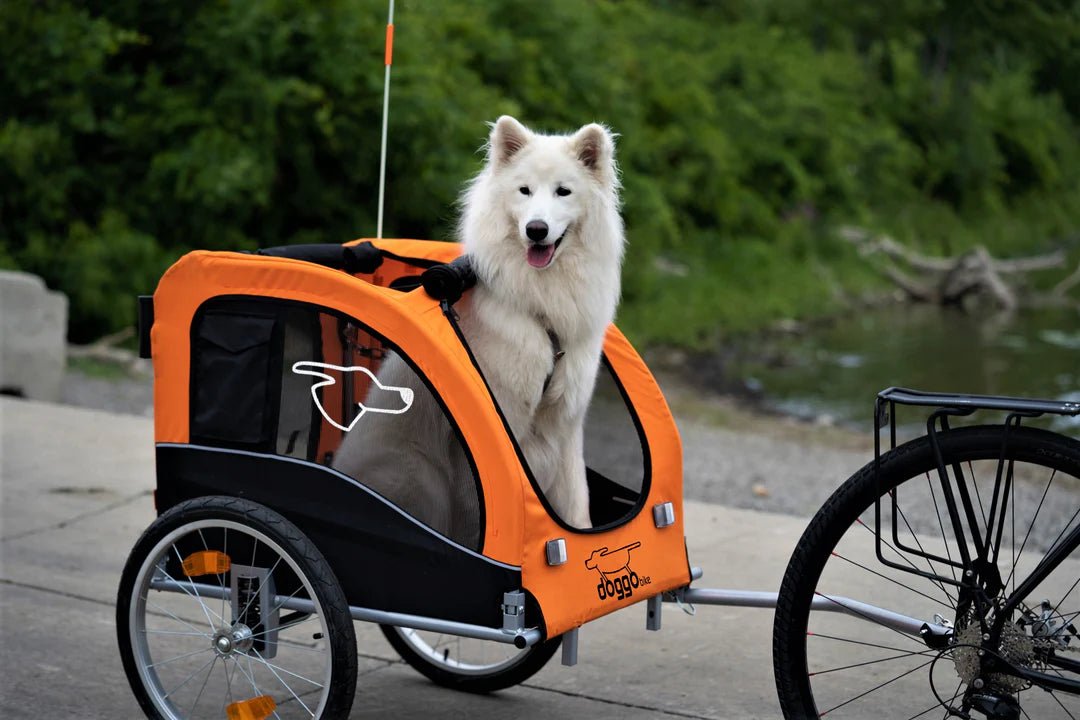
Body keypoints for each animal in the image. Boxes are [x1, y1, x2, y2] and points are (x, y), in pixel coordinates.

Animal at [334, 117, 626, 546]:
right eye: (524, 191)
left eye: (563, 191)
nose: (536, 230)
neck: (541, 309)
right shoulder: (492, 436)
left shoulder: (566, 427)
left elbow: (577, 506)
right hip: (420, 473)